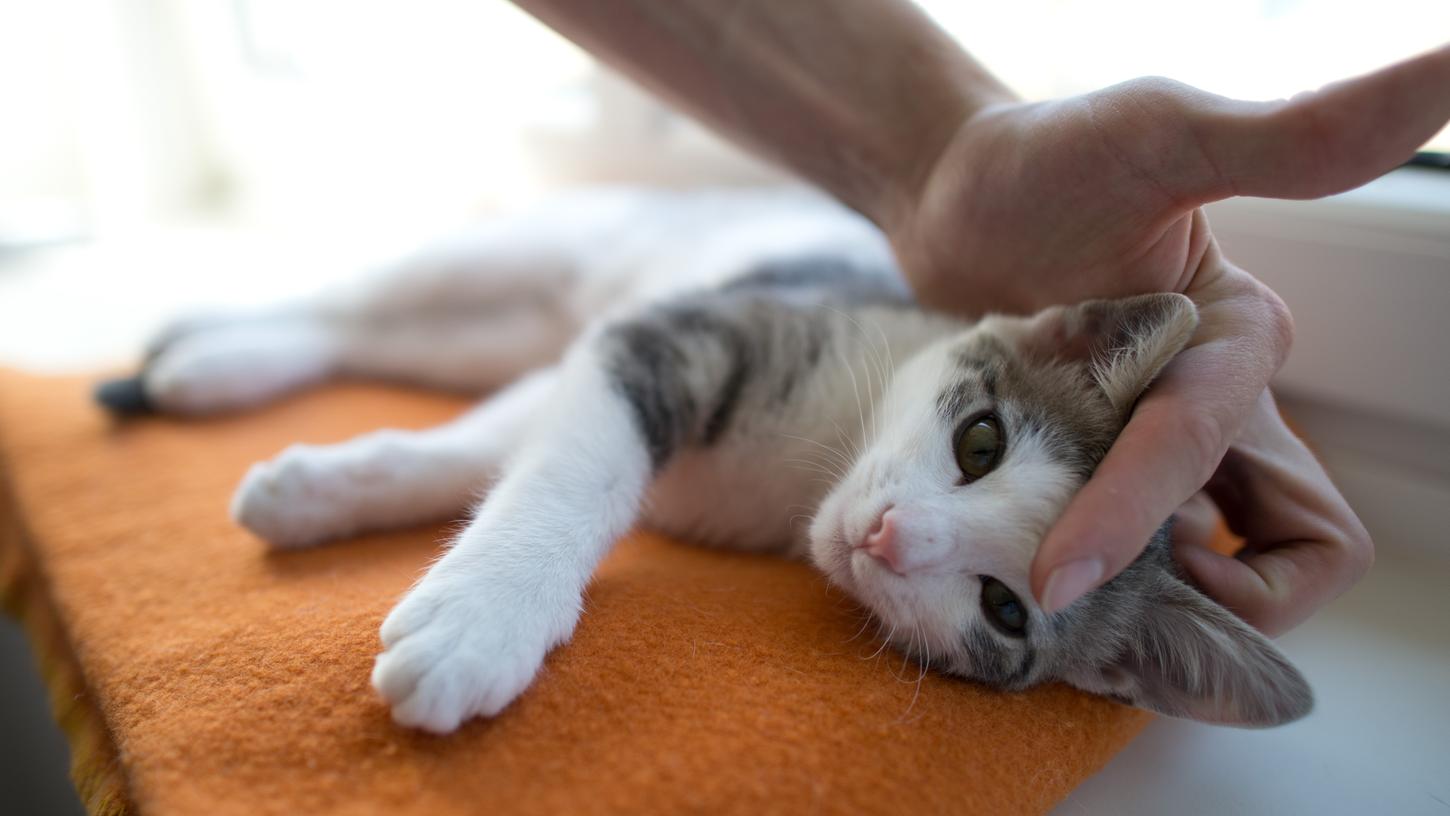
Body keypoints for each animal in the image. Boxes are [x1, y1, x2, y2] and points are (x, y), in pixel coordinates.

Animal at [96, 186, 1310, 733]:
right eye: (980, 442)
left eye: (1006, 611)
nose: (887, 536)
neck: (807, 470)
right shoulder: (674, 331)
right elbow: (572, 469)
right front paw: (484, 618)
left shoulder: (602, 351)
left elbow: (491, 444)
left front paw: (322, 493)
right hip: (544, 249)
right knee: (361, 298)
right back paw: (209, 342)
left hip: (514, 321)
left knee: (390, 340)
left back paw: (211, 368)